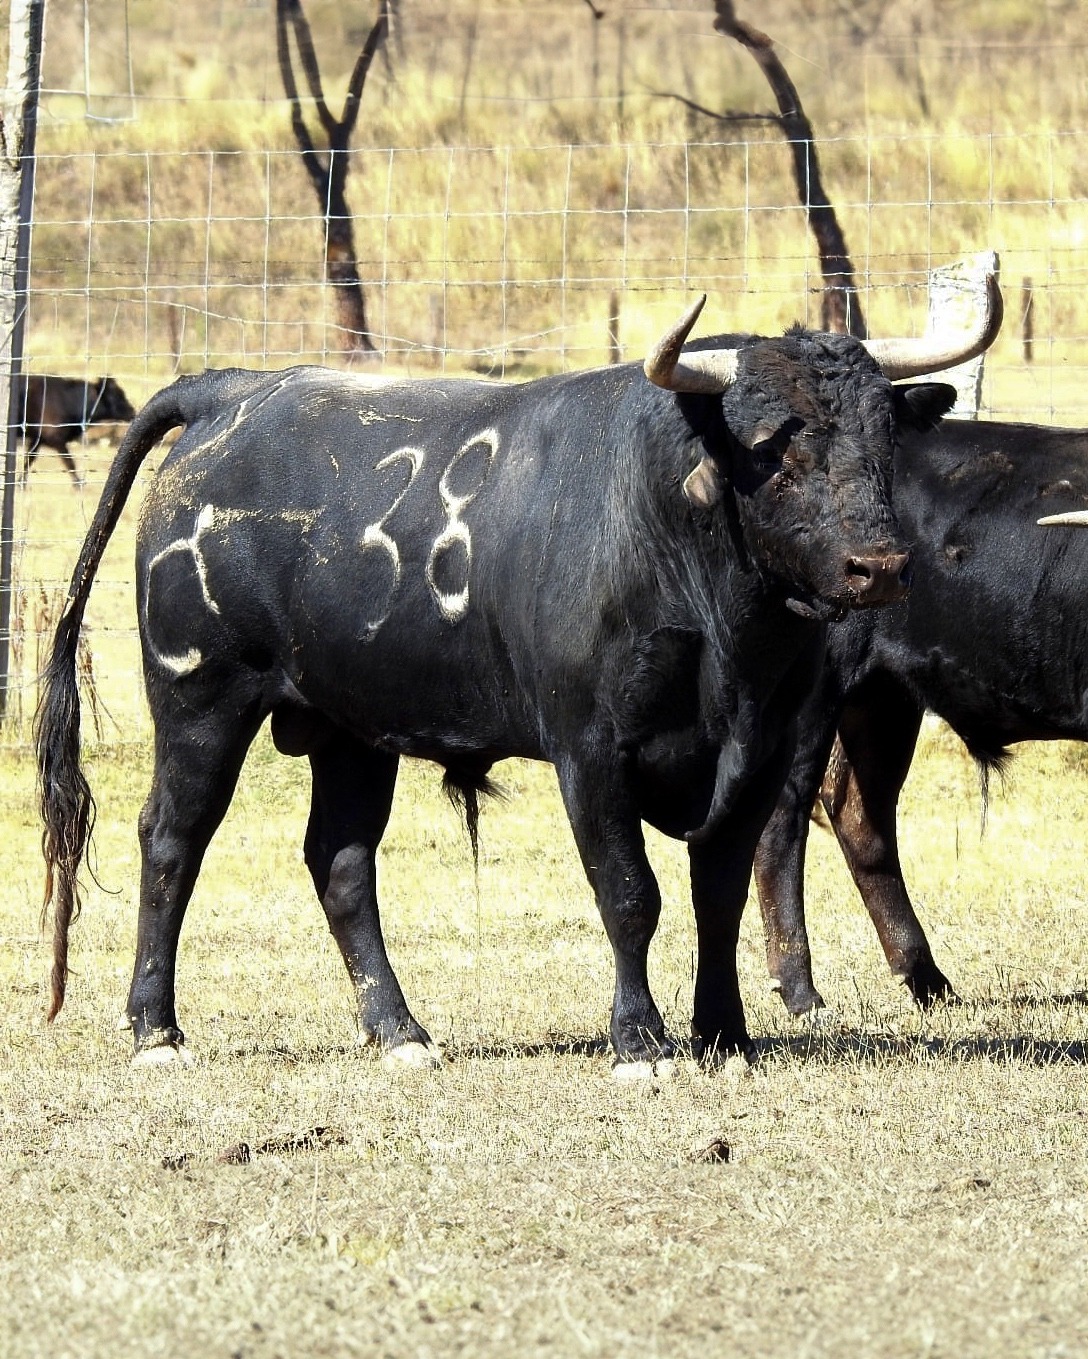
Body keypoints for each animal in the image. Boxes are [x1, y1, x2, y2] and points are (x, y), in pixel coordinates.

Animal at [35, 285, 1000, 1074]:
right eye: (776, 447)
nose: (879, 567)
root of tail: (230, 393)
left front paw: (723, 1034)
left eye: (885, 438)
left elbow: (719, 891)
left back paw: (399, 1032)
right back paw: (156, 1030)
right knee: (172, 839)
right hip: (200, 703)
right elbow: (630, 893)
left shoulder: (757, 754)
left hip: (350, 728)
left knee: (340, 861)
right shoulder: (592, 752)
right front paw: (639, 1041)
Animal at [754, 415, 1088, 1017]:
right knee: (783, 822)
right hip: (816, 698)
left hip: (883, 699)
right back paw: (798, 987)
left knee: (860, 817)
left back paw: (925, 976)